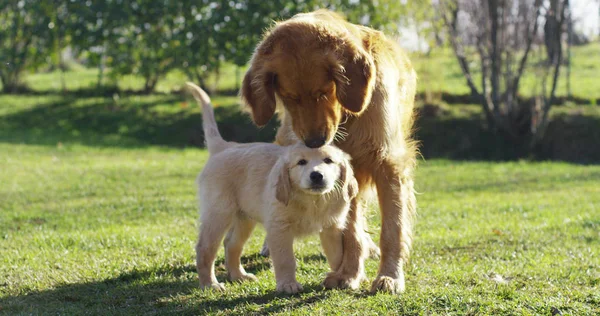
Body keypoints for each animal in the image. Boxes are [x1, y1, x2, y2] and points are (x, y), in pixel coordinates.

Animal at [188, 83, 356, 294]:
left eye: (328, 161)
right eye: (301, 162)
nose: (317, 176)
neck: (312, 200)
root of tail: (224, 147)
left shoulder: (331, 228)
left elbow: (337, 256)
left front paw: (340, 278)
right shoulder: (279, 228)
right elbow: (285, 259)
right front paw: (288, 284)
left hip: (245, 217)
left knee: (231, 243)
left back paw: (239, 276)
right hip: (218, 212)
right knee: (205, 248)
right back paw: (210, 284)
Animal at [239, 9, 418, 294]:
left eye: (323, 92)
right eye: (289, 97)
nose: (314, 142)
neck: (349, 118)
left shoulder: (388, 165)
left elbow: (393, 227)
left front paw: (389, 276)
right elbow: (351, 230)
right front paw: (349, 274)